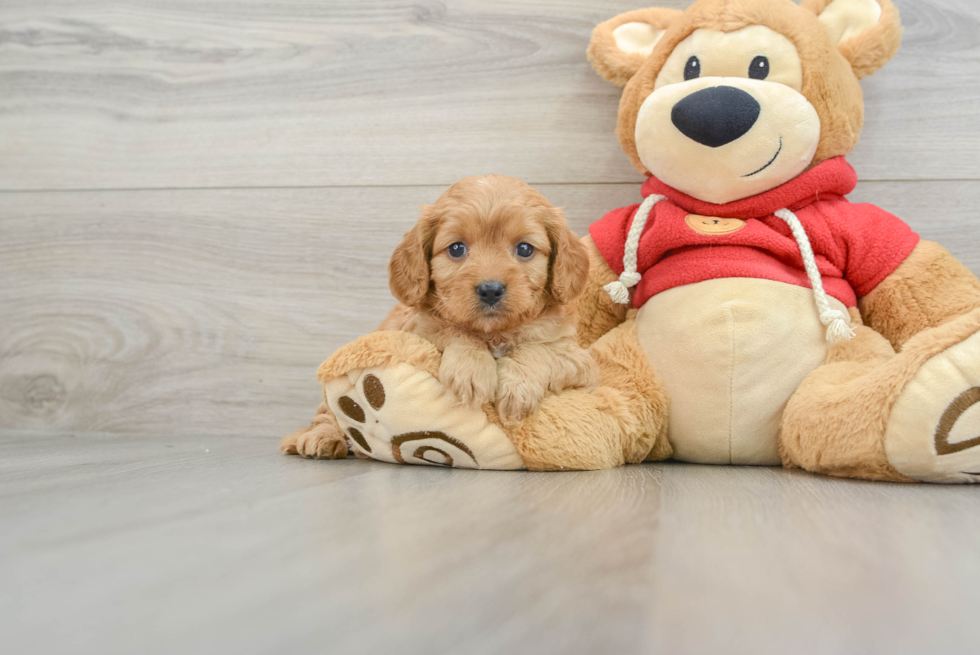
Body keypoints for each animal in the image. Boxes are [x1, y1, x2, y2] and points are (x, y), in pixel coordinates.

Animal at [282, 176, 596, 462]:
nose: (490, 289)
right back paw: (321, 438)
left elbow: (540, 350)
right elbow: (451, 329)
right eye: (456, 248)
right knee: (327, 414)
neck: (492, 333)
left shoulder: (579, 362)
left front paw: (518, 389)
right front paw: (472, 370)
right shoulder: (418, 330)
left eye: (525, 249)